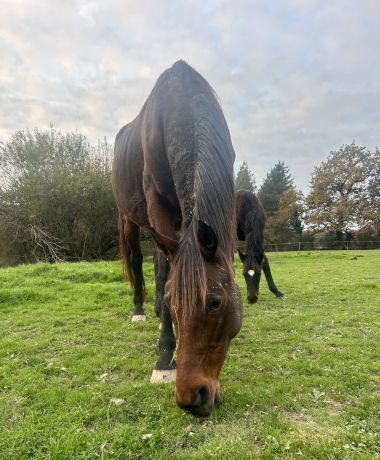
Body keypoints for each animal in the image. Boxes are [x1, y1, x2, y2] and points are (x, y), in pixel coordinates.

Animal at [112, 61, 243, 416]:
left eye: (214, 303)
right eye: (176, 303)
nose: (190, 396)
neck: (182, 104)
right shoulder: (156, 205)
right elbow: (162, 276)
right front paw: (163, 359)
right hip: (130, 219)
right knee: (141, 262)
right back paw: (143, 311)